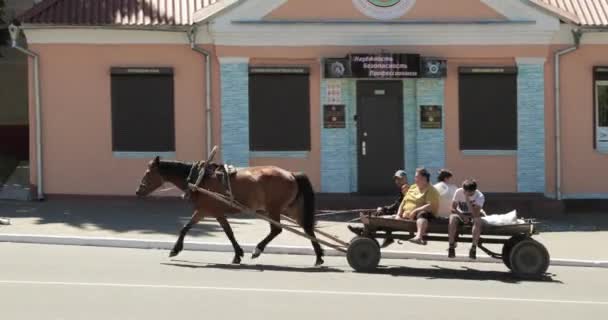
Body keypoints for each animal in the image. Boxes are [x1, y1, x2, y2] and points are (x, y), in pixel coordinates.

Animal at [133, 157, 324, 264]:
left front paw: (175, 249)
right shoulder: (210, 211)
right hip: (290, 208)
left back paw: (258, 250)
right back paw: (319, 257)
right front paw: (238, 254)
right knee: (308, 229)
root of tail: (291, 174)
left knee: (277, 229)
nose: (138, 191)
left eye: (148, 172)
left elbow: (189, 228)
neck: (200, 179)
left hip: (274, 209)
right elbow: (226, 232)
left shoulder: (207, 210)